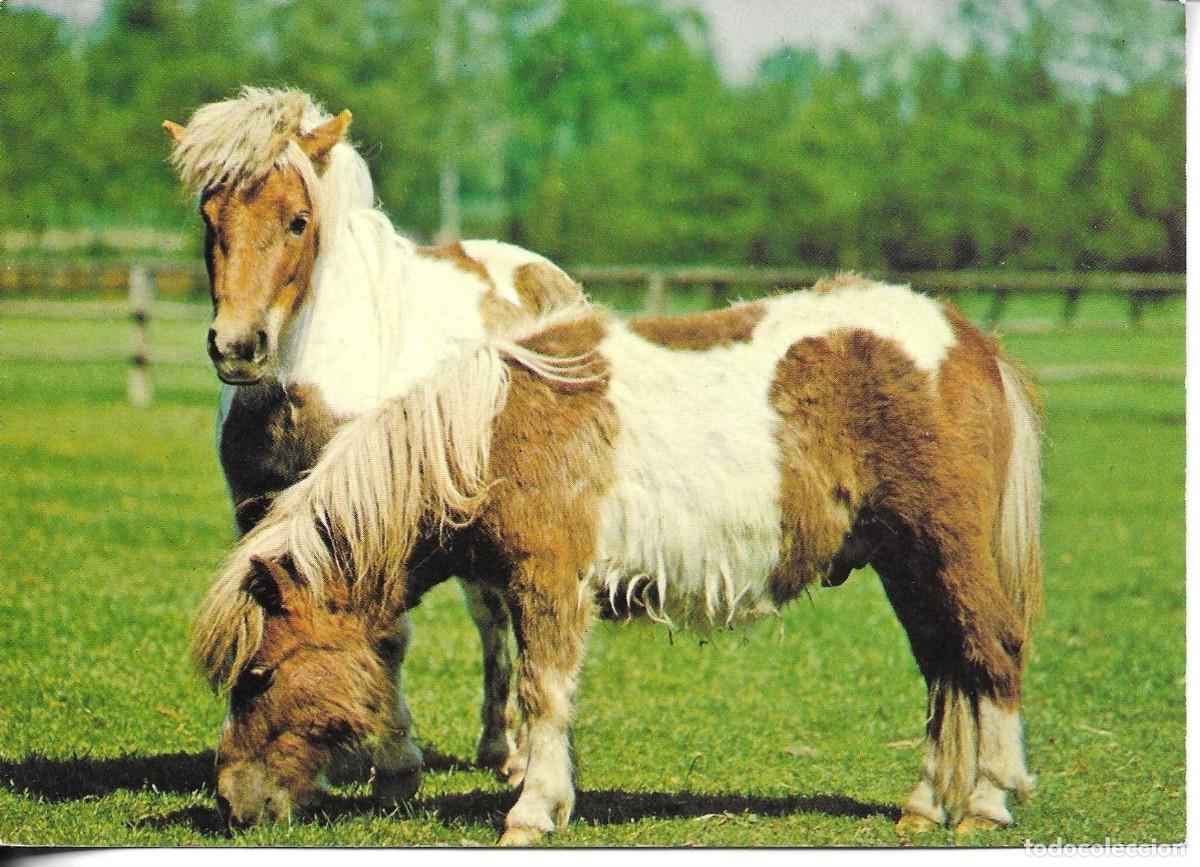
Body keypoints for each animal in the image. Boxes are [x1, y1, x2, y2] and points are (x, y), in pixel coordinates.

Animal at [162, 87, 584, 797]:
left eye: (299, 221)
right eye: (208, 216)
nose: (238, 346)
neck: (301, 378)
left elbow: (388, 633)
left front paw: (396, 760)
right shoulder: (256, 509)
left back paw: (520, 757)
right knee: (491, 617)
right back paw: (497, 746)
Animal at [191, 270, 1044, 844]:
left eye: (257, 675)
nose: (231, 802)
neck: (485, 432)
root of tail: (970, 343)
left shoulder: (547, 584)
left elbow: (542, 693)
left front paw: (532, 811)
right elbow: (550, 698)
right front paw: (554, 796)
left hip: (946, 551)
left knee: (991, 652)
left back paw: (988, 800)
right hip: (908, 566)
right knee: (945, 672)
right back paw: (925, 804)